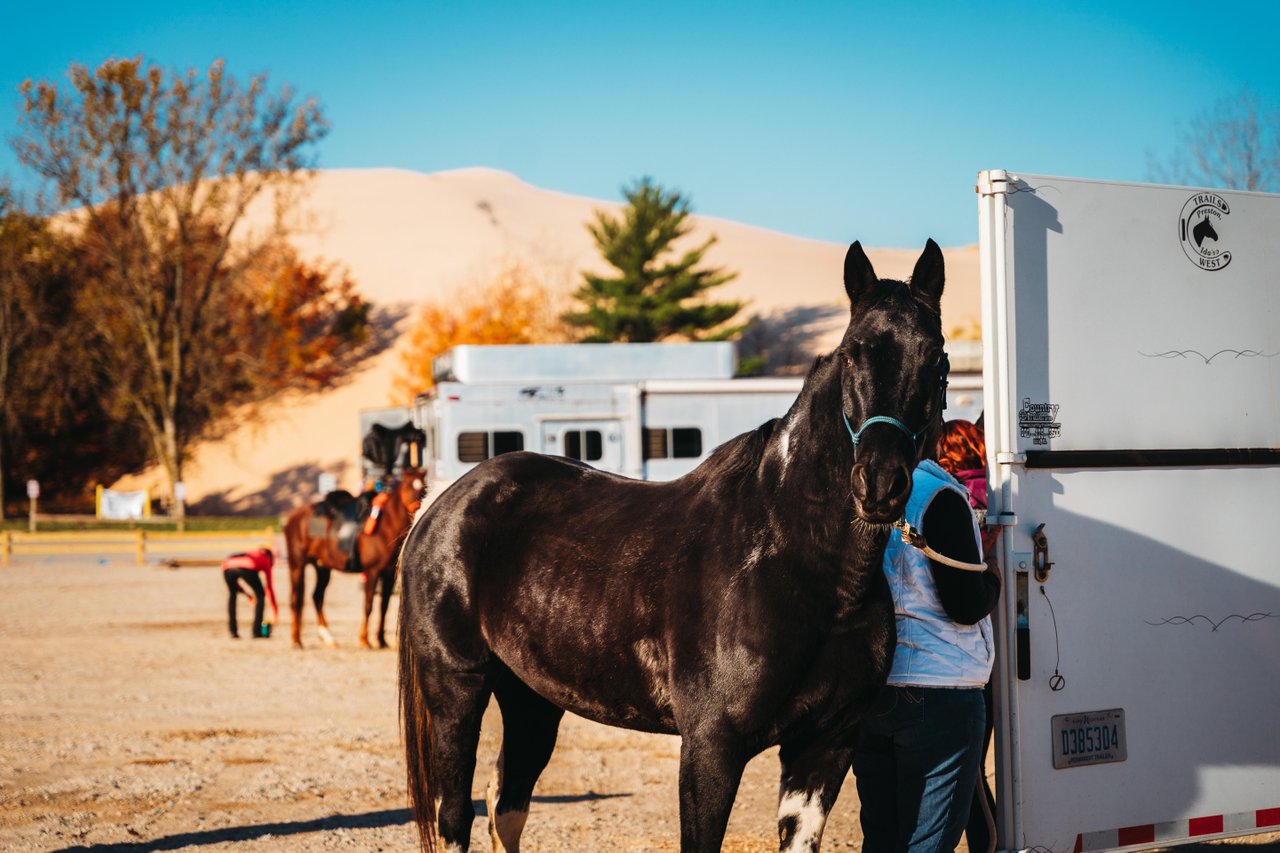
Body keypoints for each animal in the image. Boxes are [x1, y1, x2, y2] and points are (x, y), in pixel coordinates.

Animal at [282, 468, 425, 649]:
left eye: (424, 487)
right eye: (407, 487)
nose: (417, 509)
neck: (385, 526)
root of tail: (293, 517)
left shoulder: (387, 575)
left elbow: (384, 607)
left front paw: (381, 640)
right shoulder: (372, 571)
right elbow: (368, 605)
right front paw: (364, 640)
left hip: (322, 567)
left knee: (317, 597)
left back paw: (328, 637)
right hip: (297, 565)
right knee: (296, 599)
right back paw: (296, 640)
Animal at [397, 240, 949, 853]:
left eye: (936, 358)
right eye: (853, 354)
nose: (879, 483)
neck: (806, 570)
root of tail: (442, 506)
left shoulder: (824, 748)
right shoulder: (712, 746)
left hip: (531, 700)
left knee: (506, 805)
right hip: (456, 691)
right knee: (455, 816)